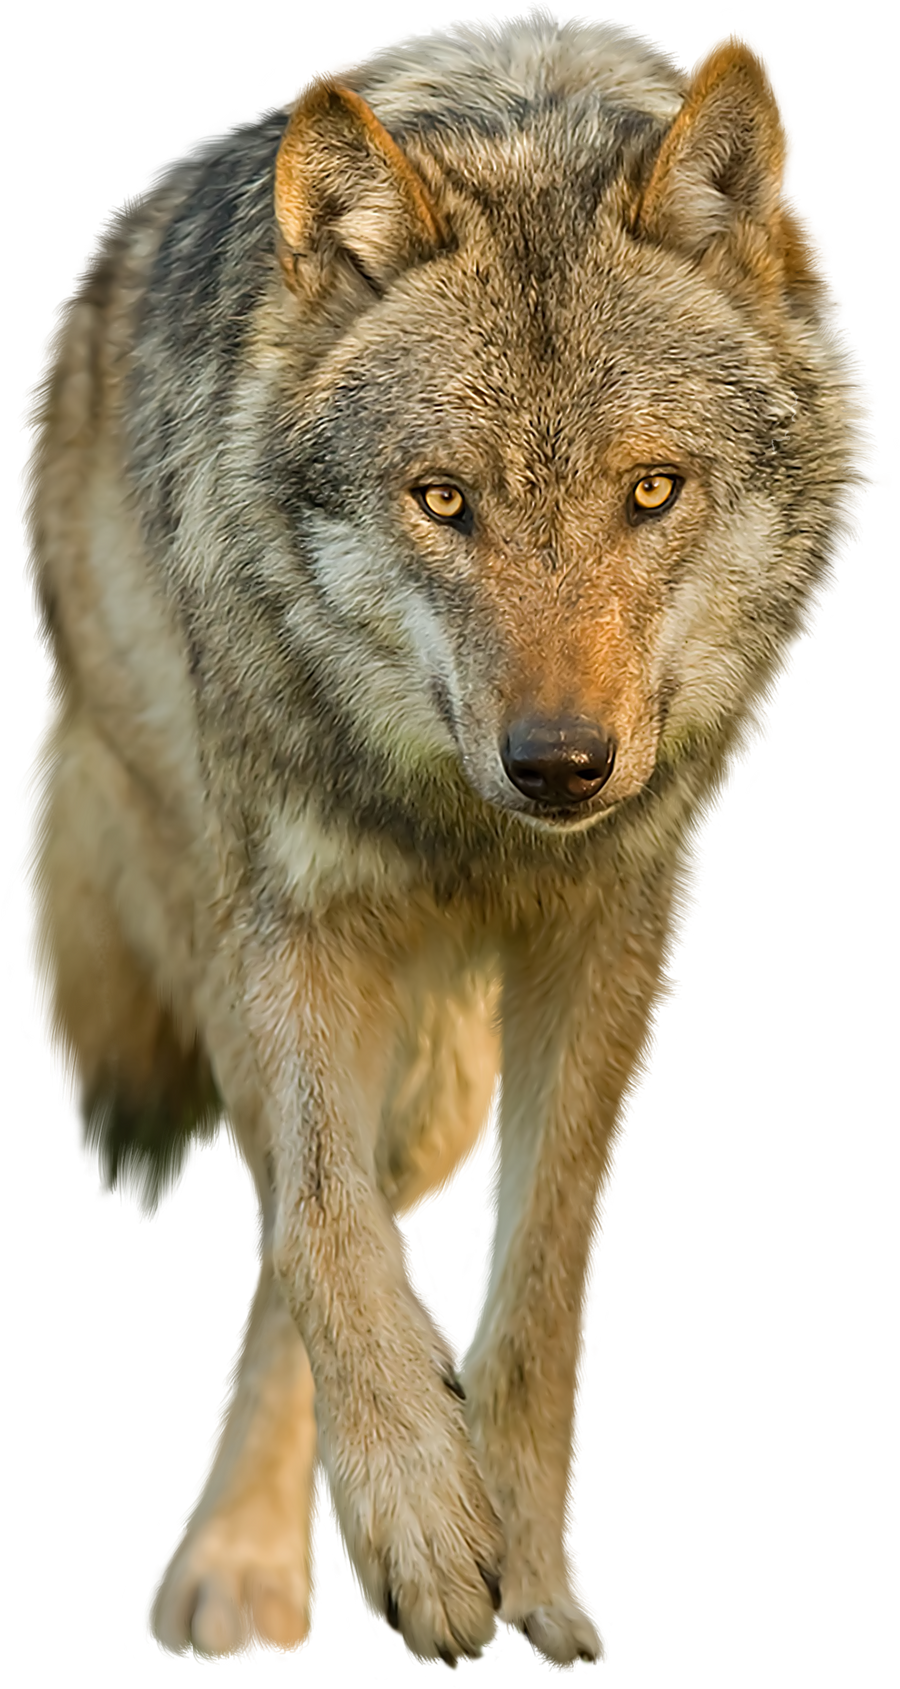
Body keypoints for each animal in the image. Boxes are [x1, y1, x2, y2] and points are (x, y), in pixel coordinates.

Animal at [14, 4, 878, 1674]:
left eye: (652, 489)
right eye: (443, 501)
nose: (561, 764)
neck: (469, 828)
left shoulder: (616, 946)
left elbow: (535, 1300)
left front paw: (531, 1579)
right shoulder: (284, 920)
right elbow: (325, 1231)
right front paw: (417, 1530)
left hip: (444, 1080)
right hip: (232, 936)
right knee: (295, 1215)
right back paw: (244, 1561)